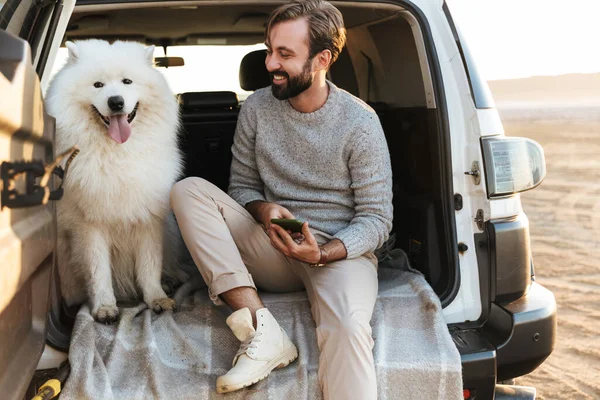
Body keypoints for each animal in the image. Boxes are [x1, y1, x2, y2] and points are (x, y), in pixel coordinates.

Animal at [46, 39, 186, 322]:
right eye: (98, 85)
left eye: (127, 82)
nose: (116, 102)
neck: (117, 152)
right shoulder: (90, 226)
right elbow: (98, 270)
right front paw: (104, 307)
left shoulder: (148, 219)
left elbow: (149, 266)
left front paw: (156, 298)